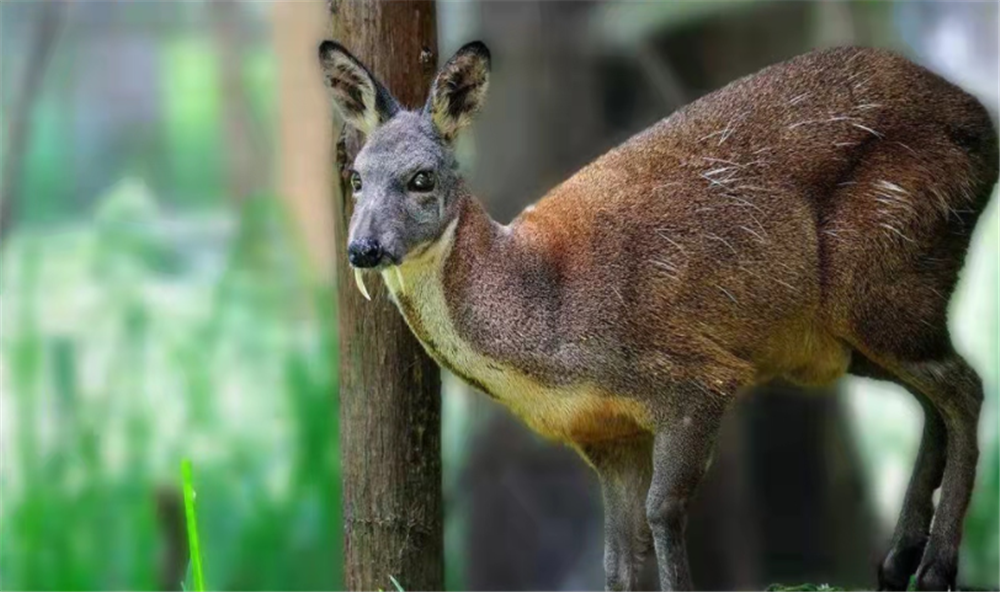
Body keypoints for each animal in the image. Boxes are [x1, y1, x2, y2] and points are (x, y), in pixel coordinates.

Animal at [322, 40, 1000, 588]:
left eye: (421, 178)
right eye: (354, 177)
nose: (363, 248)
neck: (546, 312)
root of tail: (981, 120)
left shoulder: (694, 375)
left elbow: (662, 513)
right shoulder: (604, 434)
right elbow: (618, 562)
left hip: (883, 264)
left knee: (965, 385)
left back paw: (936, 568)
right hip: (842, 335)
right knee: (935, 396)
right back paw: (897, 562)